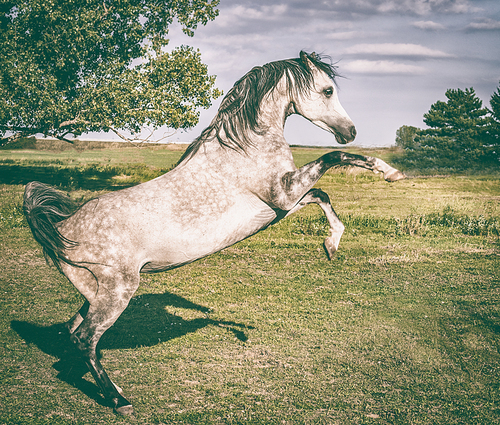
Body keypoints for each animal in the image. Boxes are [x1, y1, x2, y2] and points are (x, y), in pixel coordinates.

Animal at [24, 49, 406, 414]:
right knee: (85, 338)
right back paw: (120, 401)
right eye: (327, 90)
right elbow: (335, 157)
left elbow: (322, 195)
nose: (351, 131)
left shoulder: (281, 207)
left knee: (74, 332)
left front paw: (332, 244)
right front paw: (389, 172)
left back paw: (100, 385)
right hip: (118, 290)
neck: (246, 147)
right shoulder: (283, 193)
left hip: (95, 292)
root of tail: (61, 228)